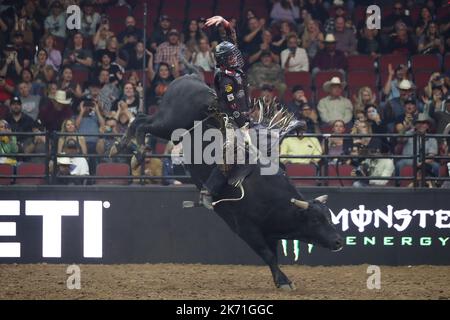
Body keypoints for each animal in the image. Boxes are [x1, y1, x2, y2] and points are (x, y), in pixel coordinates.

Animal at [121, 75, 342, 290]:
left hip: (168, 125)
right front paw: (284, 282)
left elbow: (274, 256)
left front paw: (280, 279)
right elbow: (268, 255)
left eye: (329, 217)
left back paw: (124, 146)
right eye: (315, 220)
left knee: (141, 119)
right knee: (141, 123)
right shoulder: (246, 229)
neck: (271, 197)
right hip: (169, 123)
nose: (338, 241)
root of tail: (189, 78)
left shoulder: (270, 233)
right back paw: (135, 153)